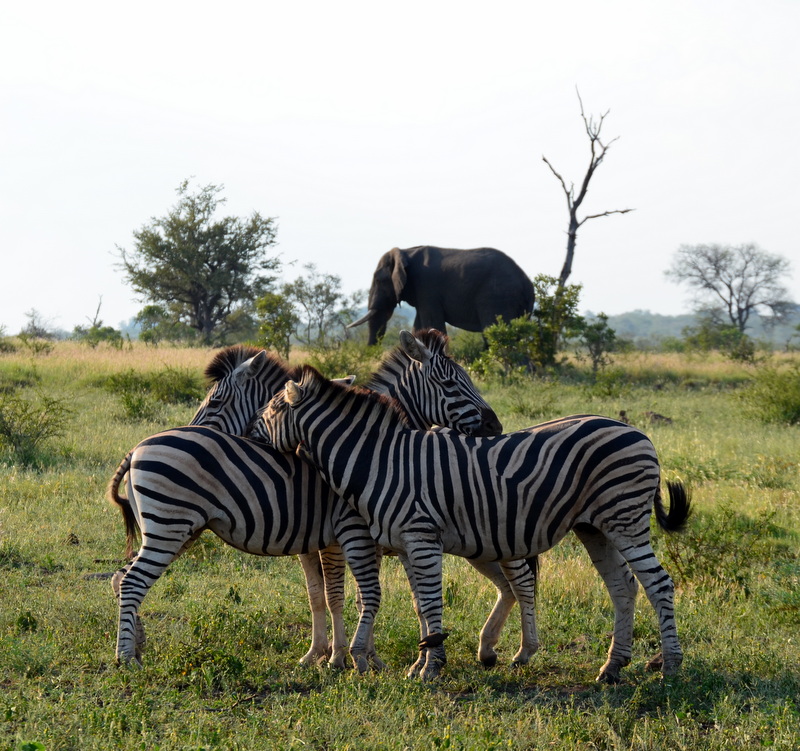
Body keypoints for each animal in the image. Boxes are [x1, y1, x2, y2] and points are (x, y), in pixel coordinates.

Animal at [109, 330, 510, 668]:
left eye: (216, 401)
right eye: (450, 383)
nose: (496, 427)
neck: (374, 449)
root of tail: (134, 450)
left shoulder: (321, 538)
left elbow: (328, 594)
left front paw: (333, 654)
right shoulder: (348, 531)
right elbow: (342, 595)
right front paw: (341, 656)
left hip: (173, 529)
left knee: (120, 576)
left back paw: (134, 647)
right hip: (171, 526)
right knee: (129, 579)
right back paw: (128, 656)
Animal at [260, 368, 692, 684]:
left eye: (268, 414)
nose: (249, 439)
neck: (381, 462)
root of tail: (639, 433)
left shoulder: (420, 537)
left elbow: (430, 602)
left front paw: (430, 667)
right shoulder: (405, 544)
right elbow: (421, 604)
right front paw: (422, 661)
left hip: (625, 518)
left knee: (658, 583)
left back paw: (670, 665)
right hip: (595, 528)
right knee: (623, 587)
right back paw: (613, 667)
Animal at [348, 248, 532, 346]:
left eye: (379, 280)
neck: (406, 252)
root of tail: (527, 282)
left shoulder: (427, 287)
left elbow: (433, 324)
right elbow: (418, 327)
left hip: (498, 296)